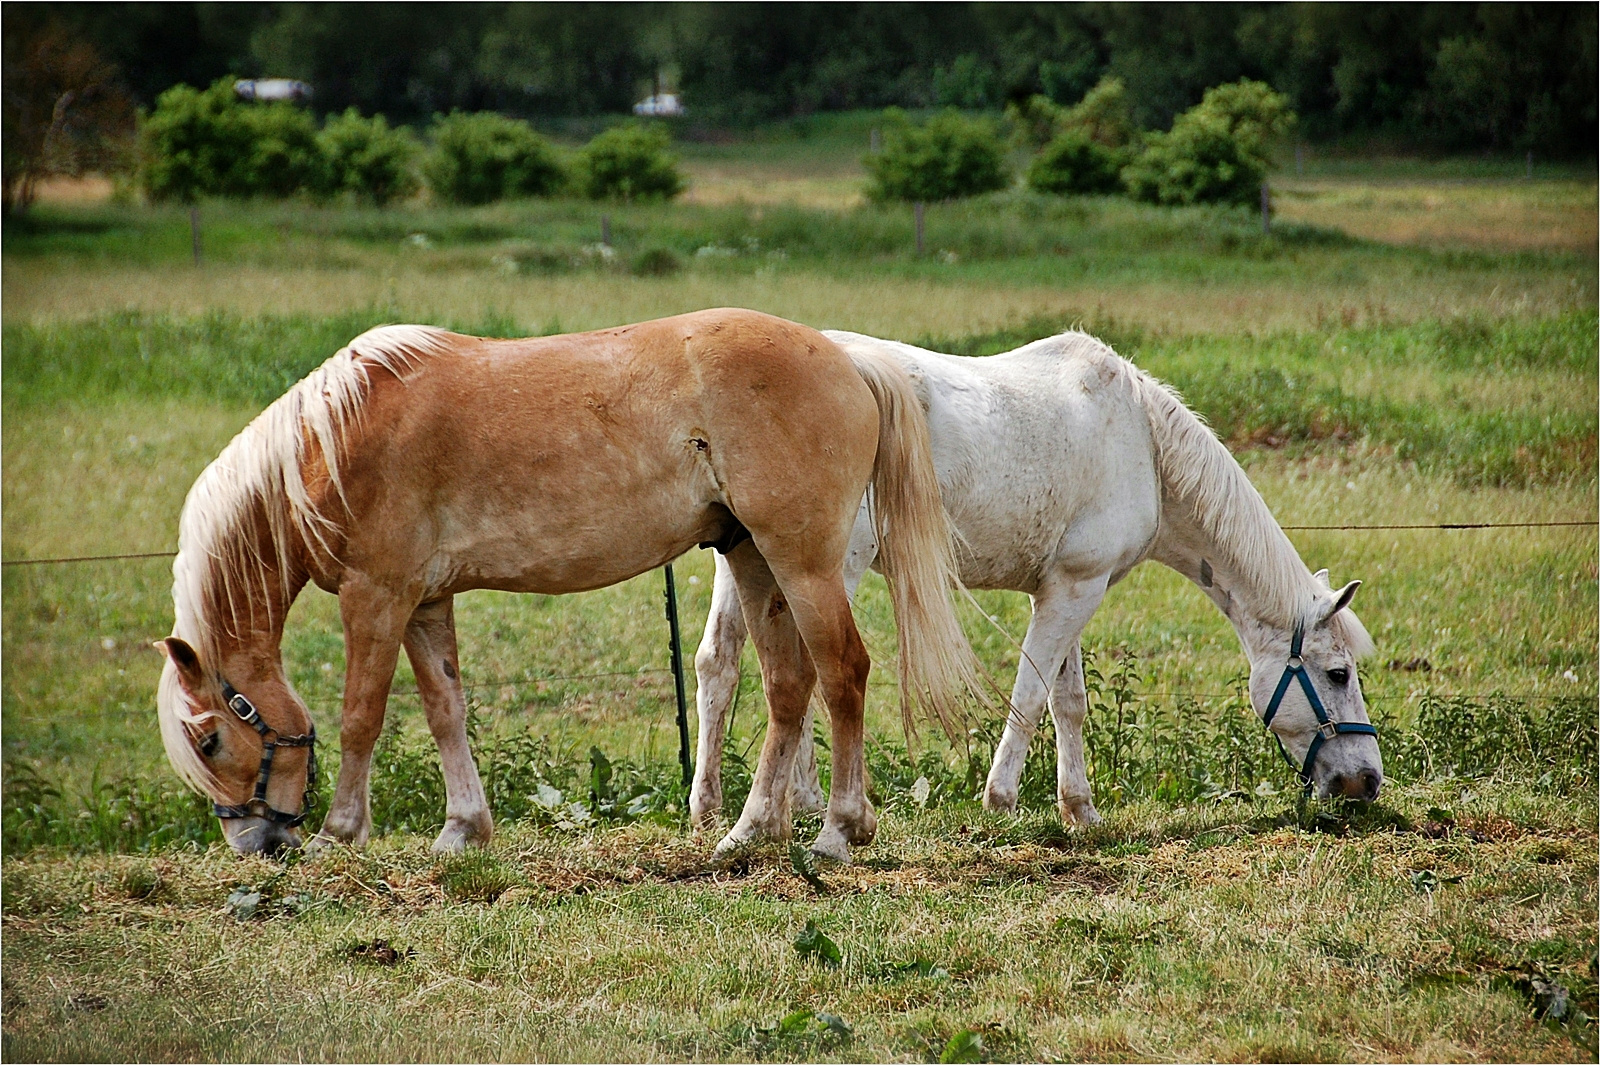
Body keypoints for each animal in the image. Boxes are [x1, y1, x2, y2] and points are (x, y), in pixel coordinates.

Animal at [156, 308, 979, 863]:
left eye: (209, 738)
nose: (257, 844)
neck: (333, 438)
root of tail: (848, 359)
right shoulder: (425, 601)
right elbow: (446, 709)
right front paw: (462, 830)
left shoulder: (377, 595)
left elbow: (363, 715)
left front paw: (339, 833)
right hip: (753, 559)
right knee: (787, 685)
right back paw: (749, 833)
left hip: (801, 561)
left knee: (842, 672)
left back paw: (839, 830)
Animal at [694, 327, 1382, 825]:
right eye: (1338, 674)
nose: (1367, 781)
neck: (1143, 444)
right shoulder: (1073, 589)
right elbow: (1029, 694)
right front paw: (1000, 801)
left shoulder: (1069, 589)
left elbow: (1067, 703)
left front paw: (1079, 810)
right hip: (829, 567)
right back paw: (807, 804)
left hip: (751, 564)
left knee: (721, 664)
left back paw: (711, 808)